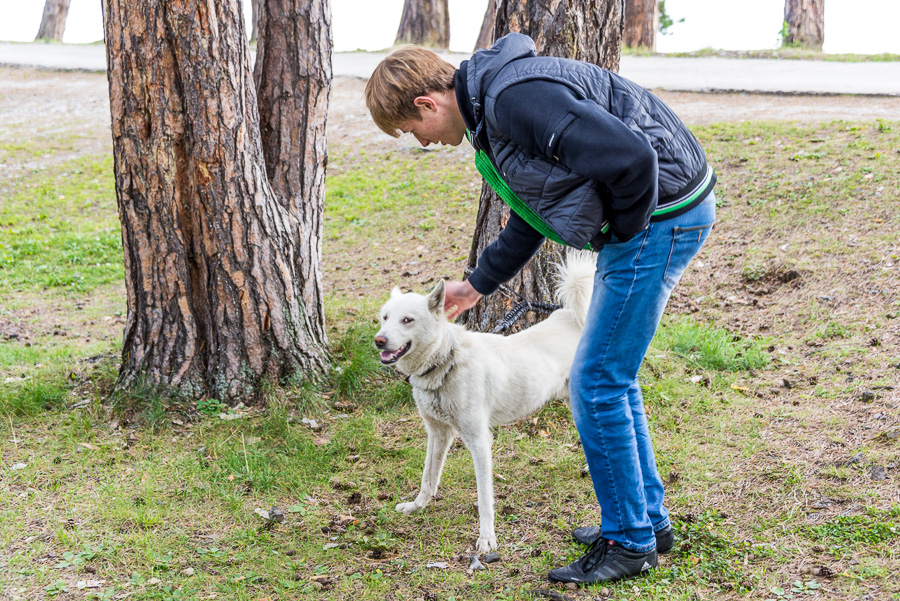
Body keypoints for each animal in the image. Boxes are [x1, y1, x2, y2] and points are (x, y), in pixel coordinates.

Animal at [374, 250, 596, 552]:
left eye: (407, 320)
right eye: (384, 318)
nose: (379, 340)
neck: (446, 363)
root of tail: (571, 315)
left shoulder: (479, 442)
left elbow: (484, 500)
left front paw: (487, 537)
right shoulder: (438, 434)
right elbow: (428, 478)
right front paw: (417, 506)